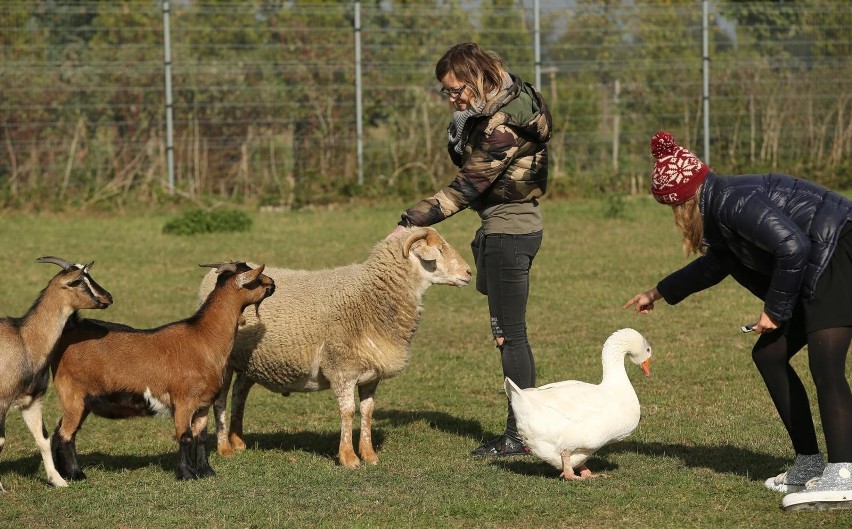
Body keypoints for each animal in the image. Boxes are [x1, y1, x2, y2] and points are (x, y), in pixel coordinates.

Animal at [0, 256, 113, 490]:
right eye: (78, 281)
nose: (108, 297)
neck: (24, 340)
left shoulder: (31, 402)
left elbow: (42, 439)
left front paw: (58, 480)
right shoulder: (1, 402)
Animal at [50, 262, 274, 480]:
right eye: (255, 278)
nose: (272, 283)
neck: (204, 338)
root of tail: (71, 329)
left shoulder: (203, 404)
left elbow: (200, 438)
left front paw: (206, 472)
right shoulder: (183, 401)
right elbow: (185, 437)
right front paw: (186, 474)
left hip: (81, 401)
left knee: (61, 431)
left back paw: (63, 472)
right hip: (72, 394)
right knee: (66, 434)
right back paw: (76, 474)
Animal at [201, 226, 472, 466]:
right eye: (439, 249)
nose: (469, 272)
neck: (370, 297)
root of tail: (211, 277)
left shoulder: (371, 374)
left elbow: (367, 412)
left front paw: (369, 455)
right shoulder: (342, 368)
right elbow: (348, 412)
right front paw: (348, 458)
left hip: (252, 360)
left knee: (240, 393)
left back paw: (238, 441)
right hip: (225, 362)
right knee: (221, 401)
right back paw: (225, 447)